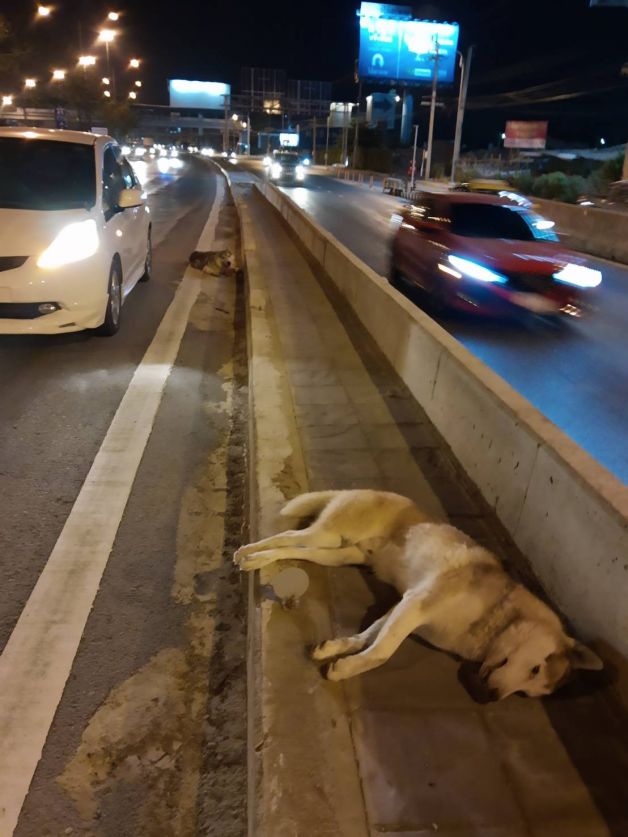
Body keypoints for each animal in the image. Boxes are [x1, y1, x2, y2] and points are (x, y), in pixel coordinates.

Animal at [234, 489, 603, 699]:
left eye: (527, 693)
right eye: (536, 670)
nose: (490, 697)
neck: (497, 618)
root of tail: (367, 489)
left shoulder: (405, 605)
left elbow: (370, 636)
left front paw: (338, 648)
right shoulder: (417, 603)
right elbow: (382, 651)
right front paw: (349, 668)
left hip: (335, 553)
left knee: (295, 548)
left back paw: (258, 559)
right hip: (327, 535)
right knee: (287, 536)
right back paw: (250, 554)